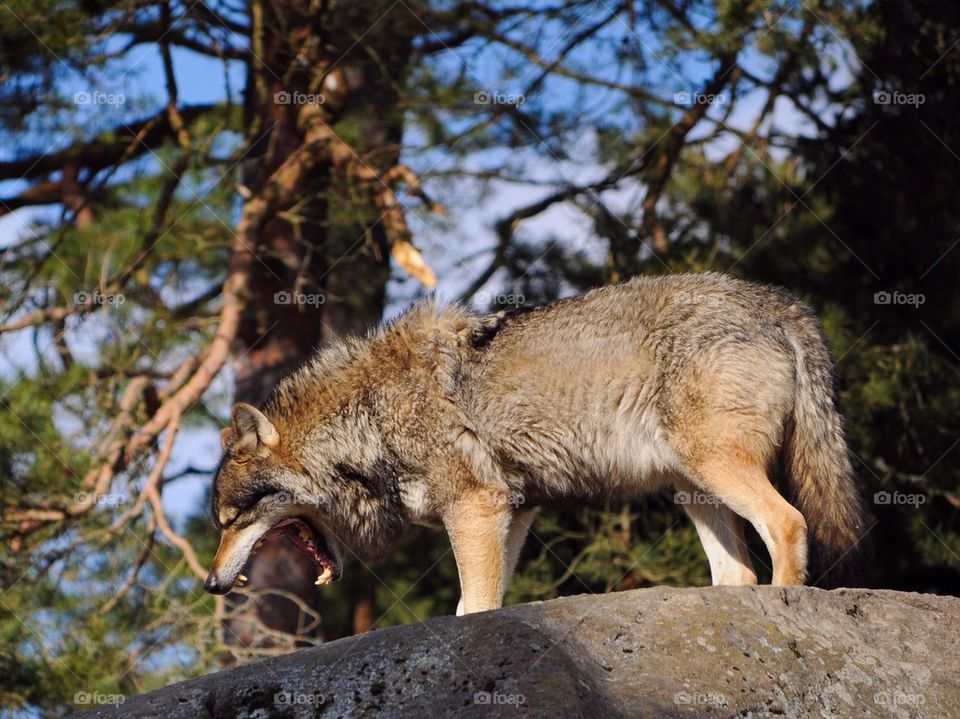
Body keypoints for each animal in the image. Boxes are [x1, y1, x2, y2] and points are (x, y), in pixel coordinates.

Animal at [204, 274, 872, 612]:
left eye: (232, 519)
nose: (211, 584)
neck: (366, 418)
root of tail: (777, 302)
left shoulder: (475, 507)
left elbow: (472, 607)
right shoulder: (516, 509)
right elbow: (484, 603)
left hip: (715, 469)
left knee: (787, 524)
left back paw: (788, 604)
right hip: (694, 489)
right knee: (738, 574)